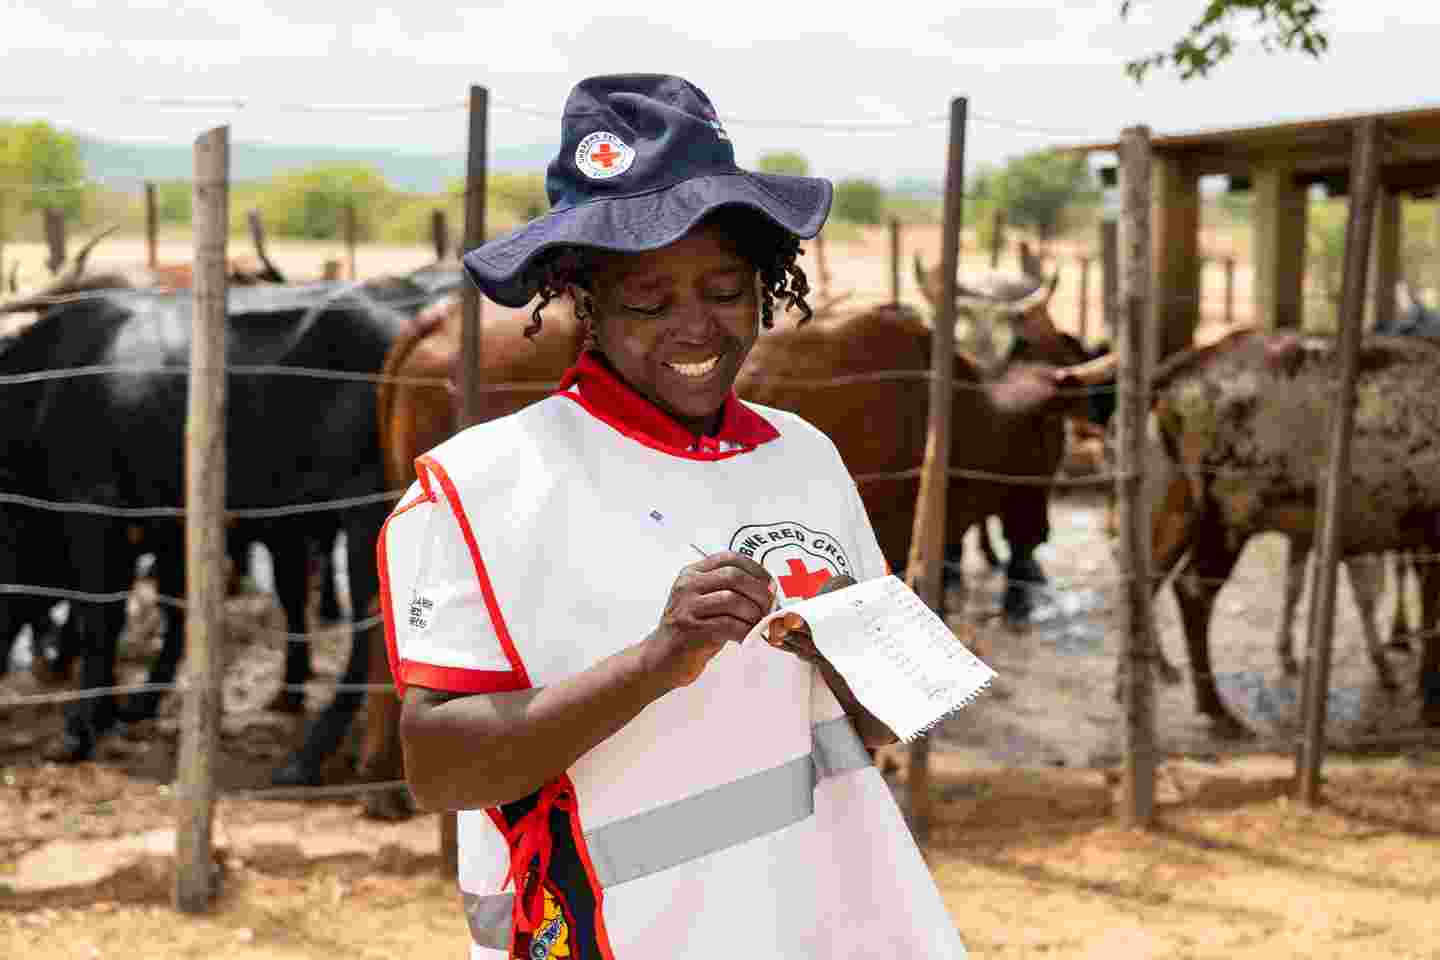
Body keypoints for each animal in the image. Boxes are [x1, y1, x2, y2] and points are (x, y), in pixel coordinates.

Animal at [0, 272, 437, 817]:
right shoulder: (156, 522)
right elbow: (153, 609)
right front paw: (117, 709)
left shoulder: (92, 505)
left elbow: (98, 618)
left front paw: (78, 733)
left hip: (366, 507)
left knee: (372, 626)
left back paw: (312, 760)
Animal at [1077, 328, 1440, 736]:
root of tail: (1171, 376)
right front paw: (1428, 701)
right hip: (1230, 515)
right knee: (1191, 590)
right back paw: (1217, 709)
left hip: (1176, 509)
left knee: (1142, 582)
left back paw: (1132, 685)